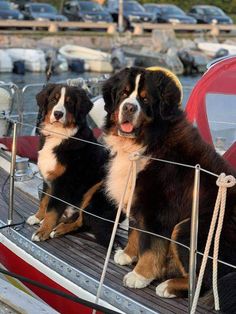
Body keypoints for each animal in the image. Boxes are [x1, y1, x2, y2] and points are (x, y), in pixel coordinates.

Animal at [26, 82, 116, 244]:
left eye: (69, 103)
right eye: (53, 100)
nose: (58, 114)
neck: (59, 135)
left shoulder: (63, 183)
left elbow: (52, 210)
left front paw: (42, 232)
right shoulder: (49, 180)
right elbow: (44, 201)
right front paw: (37, 217)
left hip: (94, 193)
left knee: (82, 221)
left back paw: (58, 229)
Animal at [101, 67, 236, 302]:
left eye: (145, 99)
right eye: (124, 94)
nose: (129, 107)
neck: (149, 140)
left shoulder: (159, 208)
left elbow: (152, 245)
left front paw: (139, 275)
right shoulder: (138, 197)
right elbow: (136, 231)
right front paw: (128, 254)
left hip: (190, 229)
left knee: (202, 282)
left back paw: (168, 286)